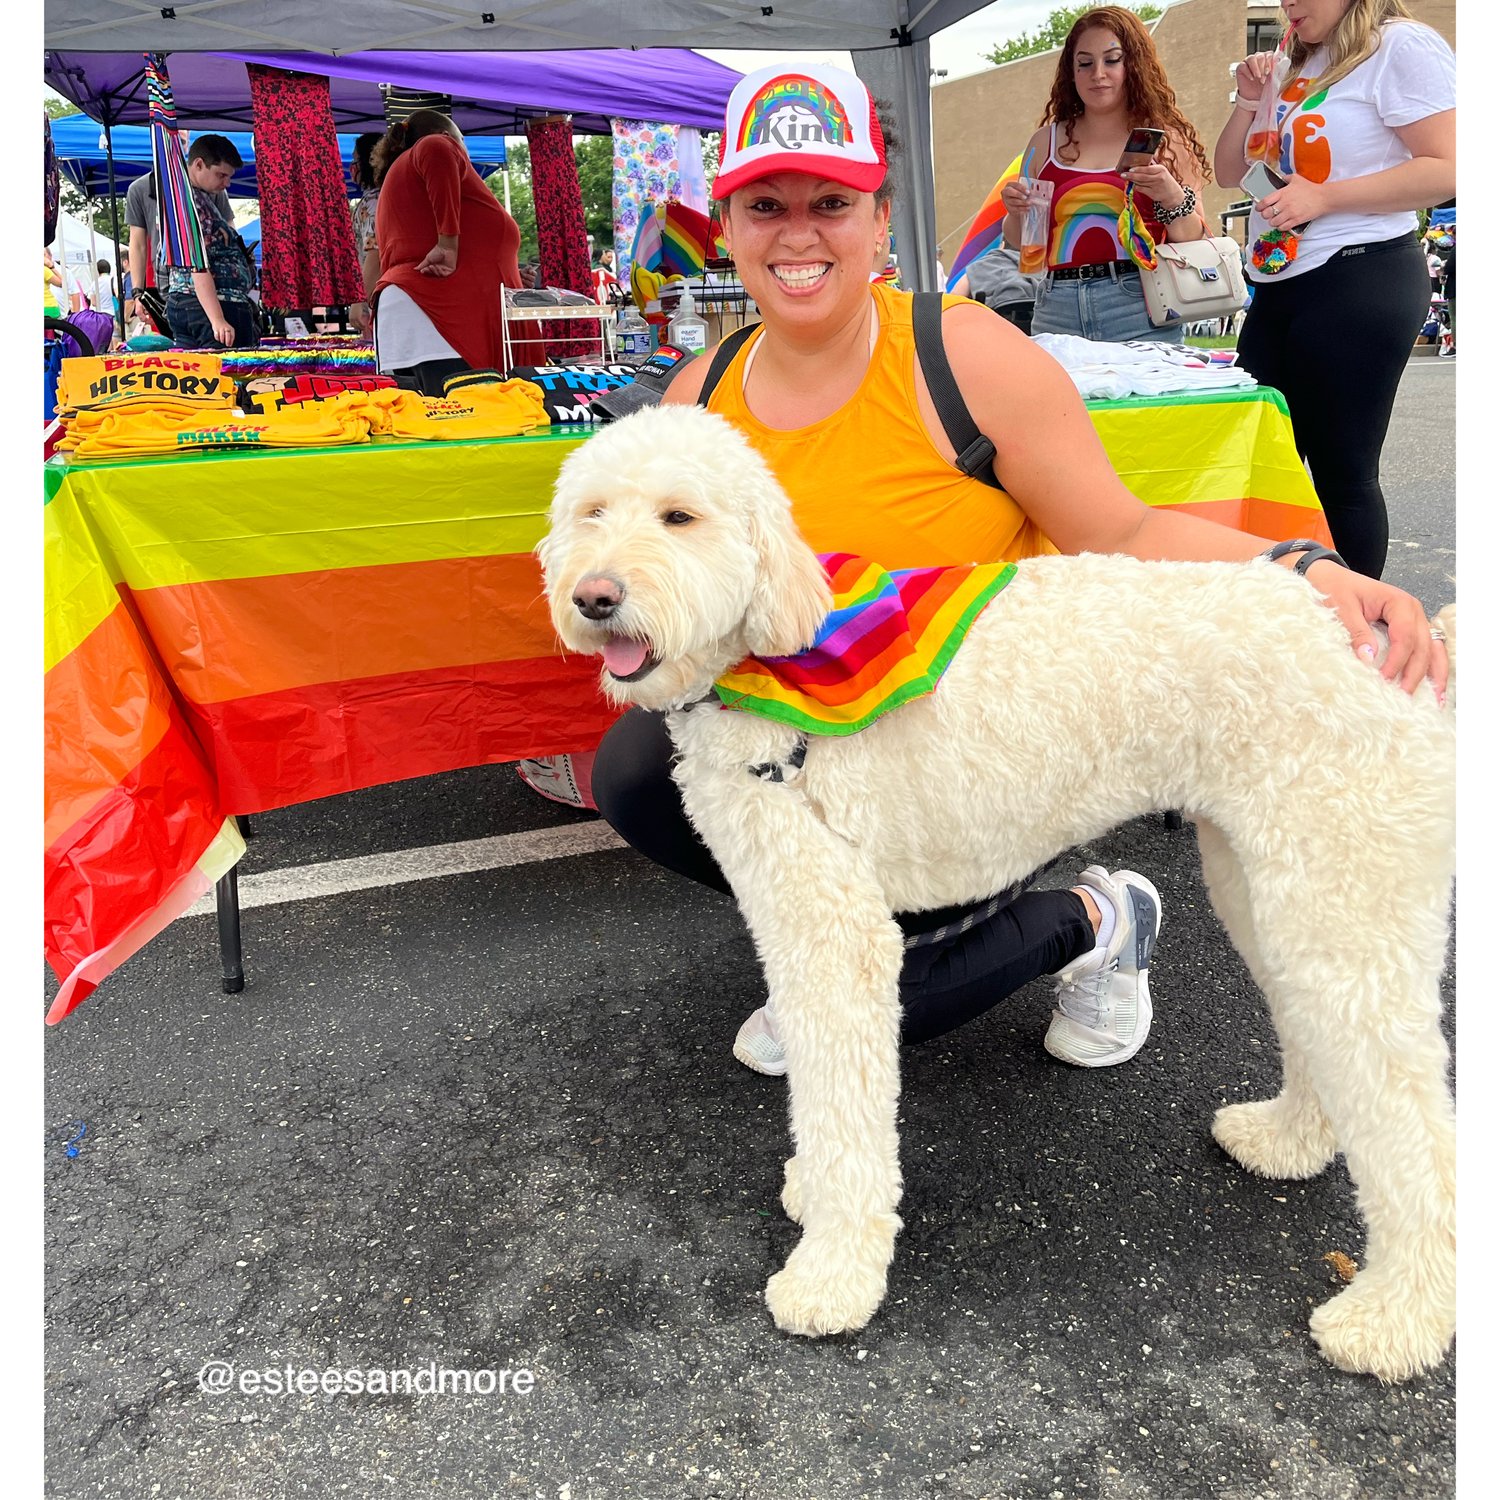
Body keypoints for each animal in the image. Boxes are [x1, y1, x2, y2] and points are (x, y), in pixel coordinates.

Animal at [537, 402, 1452, 1380]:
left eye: (680, 517)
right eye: (591, 513)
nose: (594, 596)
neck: (770, 657)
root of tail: (1399, 638)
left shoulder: (838, 936)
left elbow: (843, 1109)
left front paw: (832, 1275)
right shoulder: (789, 915)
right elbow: (821, 1090)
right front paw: (813, 1197)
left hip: (1344, 891)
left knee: (1416, 1122)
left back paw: (1398, 1319)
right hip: (1274, 889)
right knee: (1323, 1037)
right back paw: (1289, 1141)